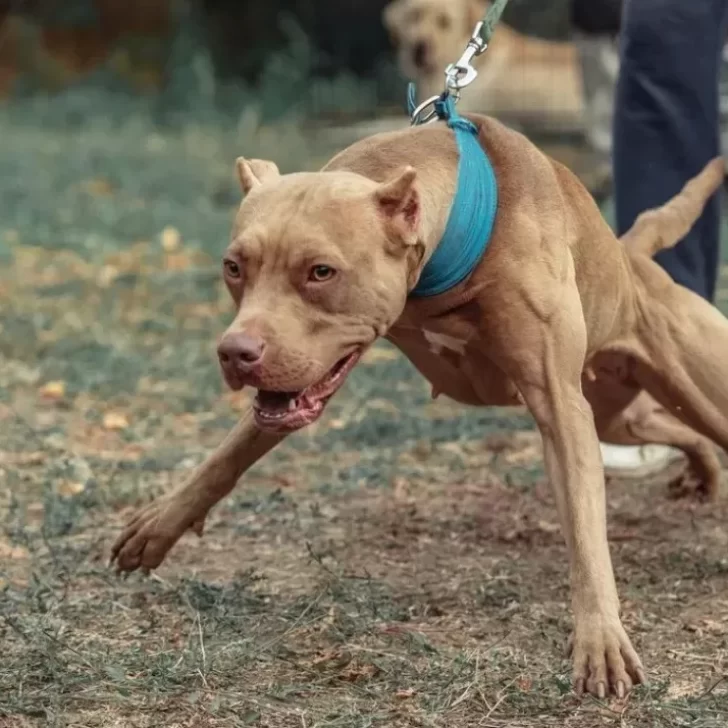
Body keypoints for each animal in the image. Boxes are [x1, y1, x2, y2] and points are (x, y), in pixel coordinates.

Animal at [112, 115, 728, 700]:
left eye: (321, 272)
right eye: (234, 267)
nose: (236, 353)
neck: (452, 251)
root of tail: (630, 256)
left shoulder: (560, 408)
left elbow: (584, 528)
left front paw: (599, 639)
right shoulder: (300, 377)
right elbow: (230, 453)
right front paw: (162, 523)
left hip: (682, 391)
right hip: (617, 414)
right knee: (671, 427)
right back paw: (702, 472)